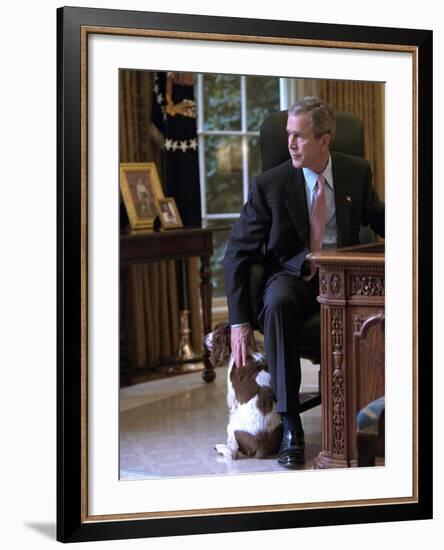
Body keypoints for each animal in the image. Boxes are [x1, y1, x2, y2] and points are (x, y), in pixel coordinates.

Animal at [204, 324, 280, 462]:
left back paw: (221, 448)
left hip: (232, 424)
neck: (247, 352)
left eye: (216, 332)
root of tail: (262, 447)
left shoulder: (232, 396)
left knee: (233, 452)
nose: (204, 338)